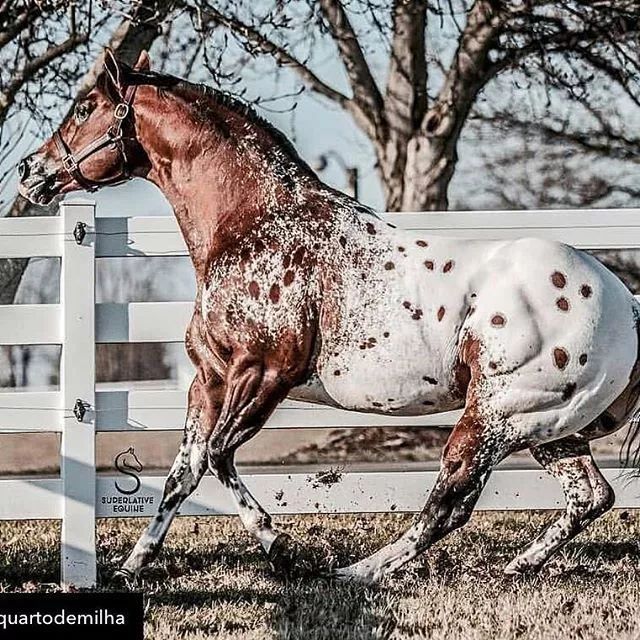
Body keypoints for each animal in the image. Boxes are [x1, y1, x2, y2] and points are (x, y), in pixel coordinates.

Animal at [17, 47, 640, 584]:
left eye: (84, 108)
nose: (29, 170)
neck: (252, 226)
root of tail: (624, 302)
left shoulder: (264, 373)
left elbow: (217, 457)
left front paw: (280, 546)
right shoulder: (210, 379)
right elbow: (182, 474)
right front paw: (131, 567)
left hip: (496, 417)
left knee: (450, 503)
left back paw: (357, 572)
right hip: (551, 427)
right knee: (590, 496)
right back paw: (518, 564)